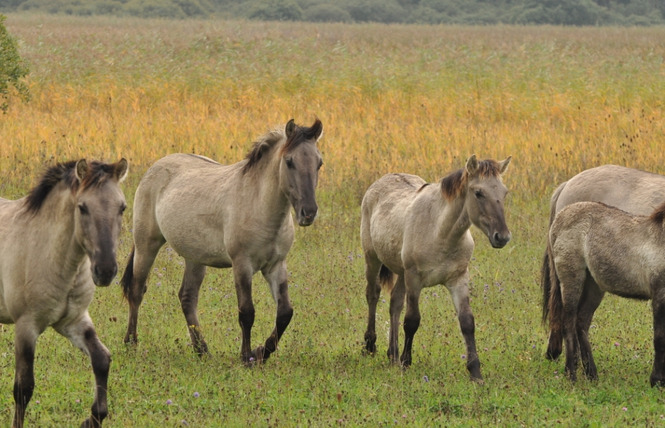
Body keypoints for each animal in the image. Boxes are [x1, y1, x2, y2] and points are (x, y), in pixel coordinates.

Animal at [0, 160, 128, 428]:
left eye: (122, 207)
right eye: (82, 208)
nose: (105, 270)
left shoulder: (73, 321)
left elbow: (102, 360)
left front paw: (91, 419)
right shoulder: (26, 326)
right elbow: (23, 388)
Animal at [122, 118, 324, 364]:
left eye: (319, 163)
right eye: (289, 161)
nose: (308, 213)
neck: (258, 205)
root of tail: (156, 166)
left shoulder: (276, 266)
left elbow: (285, 312)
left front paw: (261, 353)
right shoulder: (242, 264)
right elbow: (247, 312)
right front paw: (246, 357)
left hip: (195, 258)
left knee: (187, 297)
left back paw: (202, 350)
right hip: (146, 245)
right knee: (136, 290)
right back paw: (131, 344)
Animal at [360, 155, 510, 382]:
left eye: (504, 192)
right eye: (478, 193)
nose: (502, 237)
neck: (440, 233)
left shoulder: (458, 279)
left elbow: (467, 322)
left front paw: (475, 372)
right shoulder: (414, 278)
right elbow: (412, 320)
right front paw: (406, 363)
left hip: (401, 273)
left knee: (395, 303)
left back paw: (392, 355)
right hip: (373, 259)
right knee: (373, 295)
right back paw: (371, 345)